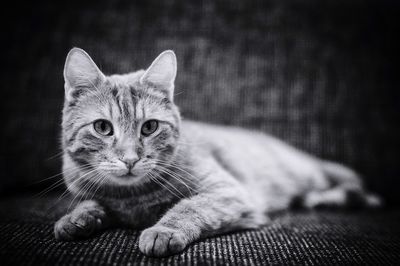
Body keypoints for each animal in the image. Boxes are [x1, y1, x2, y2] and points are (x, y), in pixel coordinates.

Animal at [54, 47, 382, 256]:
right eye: (102, 127)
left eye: (149, 127)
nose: (130, 159)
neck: (132, 200)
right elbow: (91, 204)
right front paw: (75, 220)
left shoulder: (227, 192)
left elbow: (189, 207)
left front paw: (163, 231)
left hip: (313, 172)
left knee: (349, 183)